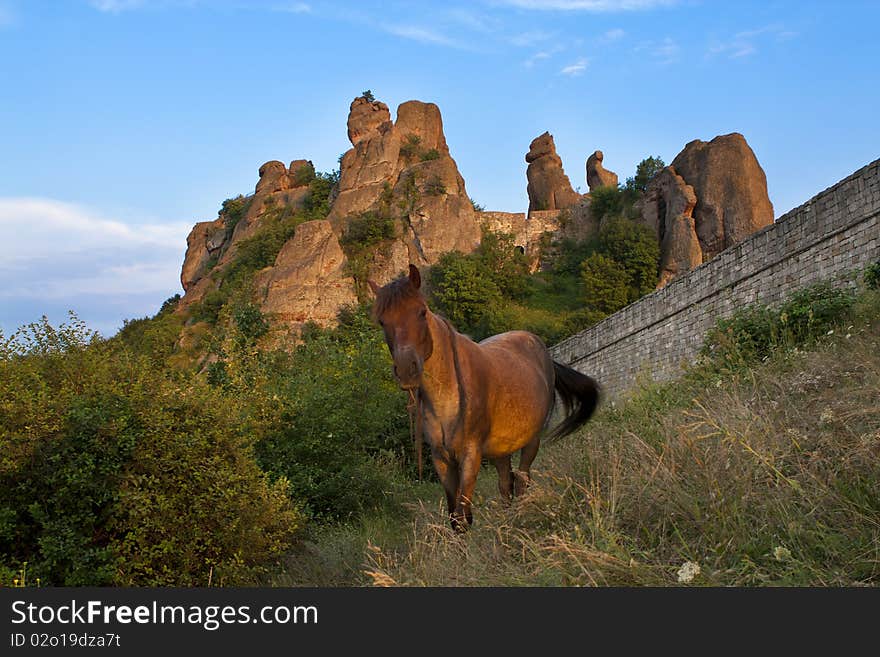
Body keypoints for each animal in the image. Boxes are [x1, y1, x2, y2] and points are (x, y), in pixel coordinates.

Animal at [368, 264, 600, 532]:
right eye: (382, 321)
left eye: (421, 312)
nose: (407, 369)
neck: (447, 397)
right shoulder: (441, 459)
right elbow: (455, 518)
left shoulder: (471, 455)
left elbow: (463, 514)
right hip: (501, 449)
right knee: (506, 484)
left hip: (531, 440)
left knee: (522, 480)